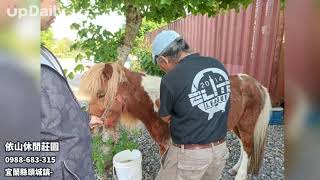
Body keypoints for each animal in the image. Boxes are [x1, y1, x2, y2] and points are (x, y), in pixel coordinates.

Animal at [79, 62, 272, 179]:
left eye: (101, 94)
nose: (91, 126)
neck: (156, 102)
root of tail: (257, 84)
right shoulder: (164, 146)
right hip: (237, 125)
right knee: (243, 146)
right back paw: (235, 168)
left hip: (247, 124)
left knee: (248, 147)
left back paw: (240, 174)